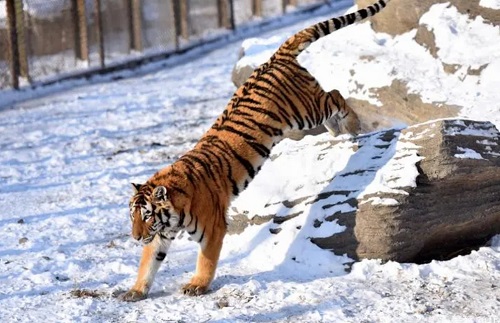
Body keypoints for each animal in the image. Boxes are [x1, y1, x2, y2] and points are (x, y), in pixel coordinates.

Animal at [120, 0, 390, 304]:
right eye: (132, 216)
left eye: (146, 215)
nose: (135, 237)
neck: (173, 210)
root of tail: (274, 58)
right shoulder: (160, 235)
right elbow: (148, 263)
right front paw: (135, 290)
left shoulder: (212, 228)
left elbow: (206, 260)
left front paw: (198, 285)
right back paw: (337, 132)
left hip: (306, 111)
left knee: (335, 94)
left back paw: (353, 126)